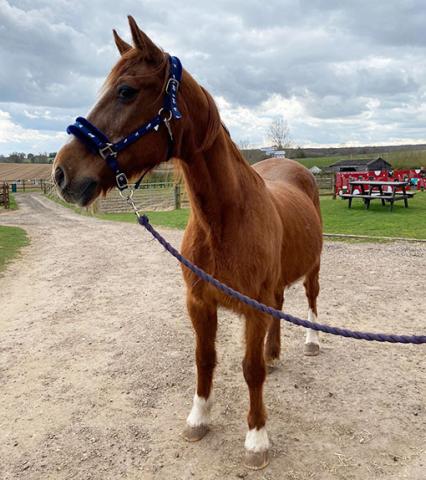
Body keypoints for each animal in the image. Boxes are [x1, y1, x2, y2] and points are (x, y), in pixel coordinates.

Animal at [53, 16, 322, 470]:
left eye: (126, 91)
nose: (61, 172)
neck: (224, 222)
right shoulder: (199, 302)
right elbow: (204, 358)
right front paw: (198, 418)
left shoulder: (252, 306)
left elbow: (250, 369)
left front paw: (256, 439)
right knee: (281, 306)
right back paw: (275, 352)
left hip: (314, 269)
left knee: (311, 298)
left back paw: (313, 342)